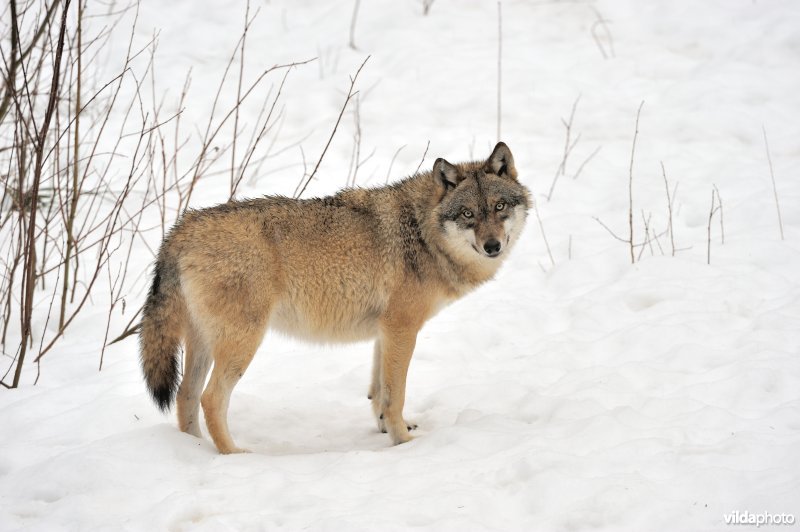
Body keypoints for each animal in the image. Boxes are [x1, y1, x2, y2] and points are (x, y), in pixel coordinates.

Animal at [140, 142, 530, 454]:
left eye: (499, 207)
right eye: (468, 214)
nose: (492, 246)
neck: (422, 232)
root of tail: (182, 229)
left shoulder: (385, 333)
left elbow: (379, 393)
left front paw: (386, 428)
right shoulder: (402, 329)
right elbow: (395, 394)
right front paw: (403, 442)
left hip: (205, 344)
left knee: (185, 396)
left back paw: (195, 449)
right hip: (242, 343)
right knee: (210, 399)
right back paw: (233, 454)